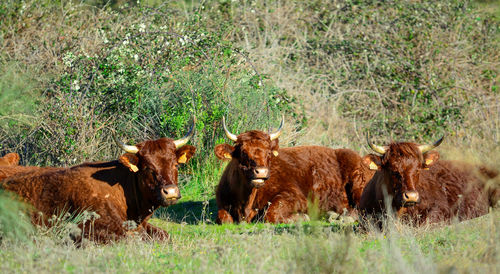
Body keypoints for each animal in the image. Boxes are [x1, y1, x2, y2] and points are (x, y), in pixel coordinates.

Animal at [213, 116, 374, 224]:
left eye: (269, 153)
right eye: (243, 152)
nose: (261, 172)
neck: (246, 202)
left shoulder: (295, 197)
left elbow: (271, 214)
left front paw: (302, 217)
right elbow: (223, 218)